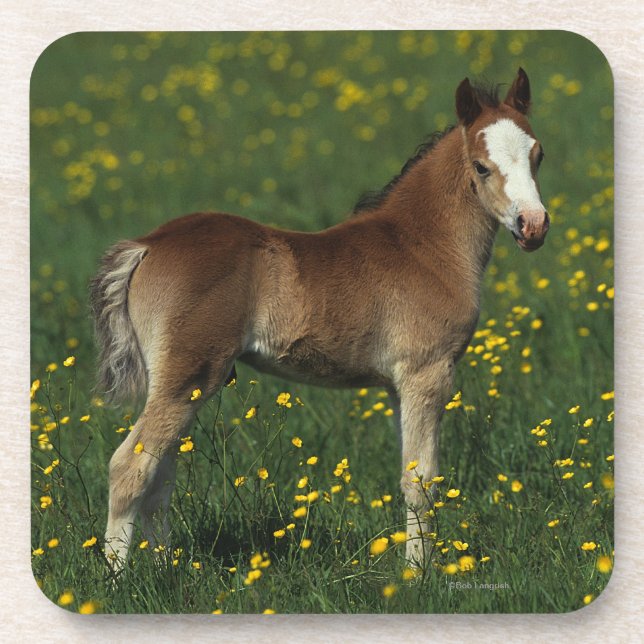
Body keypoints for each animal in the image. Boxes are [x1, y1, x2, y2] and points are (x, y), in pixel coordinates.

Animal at [90, 68, 549, 572]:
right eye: (481, 166)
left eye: (538, 155)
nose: (533, 225)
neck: (423, 246)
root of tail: (147, 244)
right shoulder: (427, 373)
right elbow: (422, 483)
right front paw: (420, 575)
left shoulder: (397, 385)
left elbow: (408, 473)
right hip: (189, 374)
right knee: (131, 466)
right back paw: (118, 579)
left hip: (182, 383)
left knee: (162, 476)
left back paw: (166, 569)